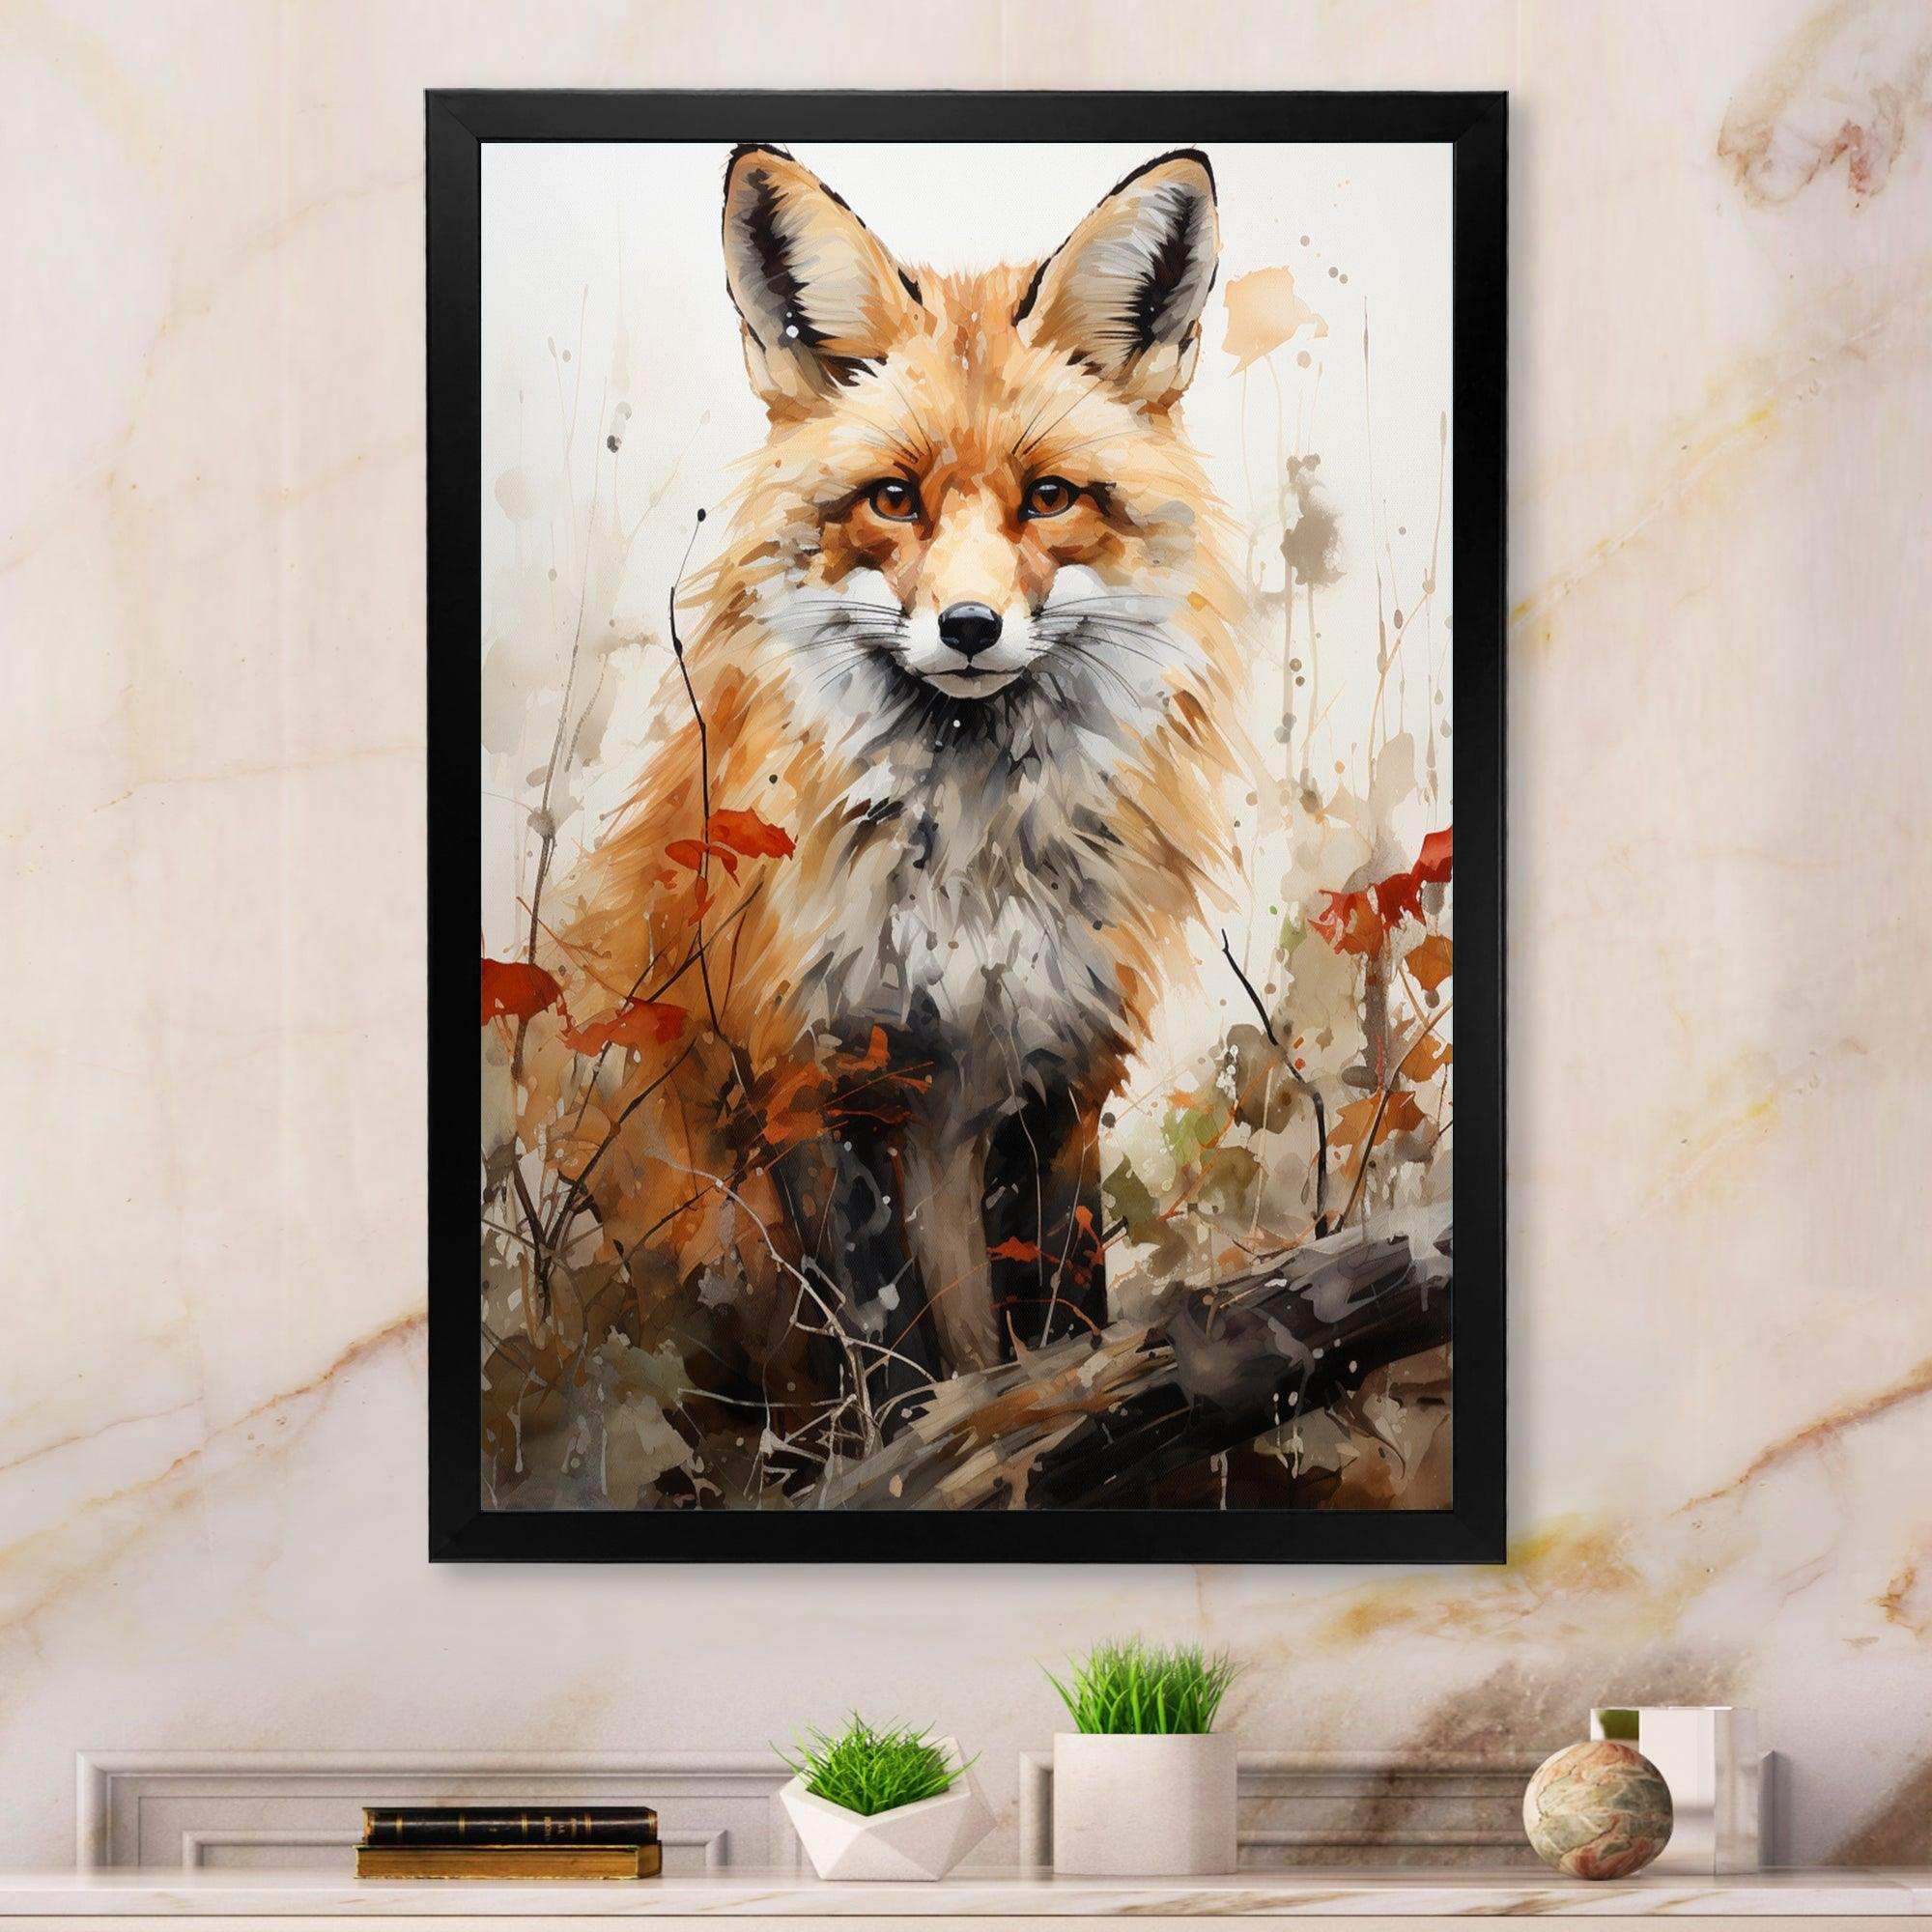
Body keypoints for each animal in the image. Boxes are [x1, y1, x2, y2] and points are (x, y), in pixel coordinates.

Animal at [527, 144, 1253, 1448]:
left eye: (1050, 496)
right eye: (894, 498)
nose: (968, 626)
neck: (967, 870)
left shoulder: (1056, 1074)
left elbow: (1059, 1316)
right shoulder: (812, 1077)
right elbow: (887, 1350)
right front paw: (907, 1455)